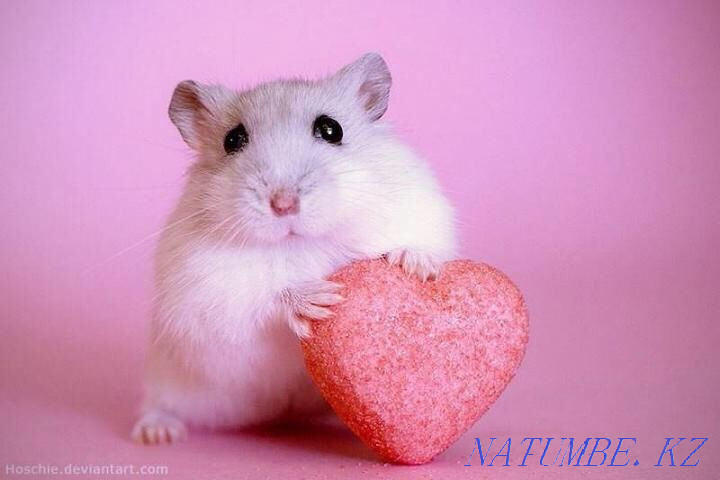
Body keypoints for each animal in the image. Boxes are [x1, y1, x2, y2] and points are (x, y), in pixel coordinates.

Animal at [132, 53, 457, 444]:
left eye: (332, 130)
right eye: (232, 139)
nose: (284, 204)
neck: (300, 241)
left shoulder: (421, 210)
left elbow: (422, 241)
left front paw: (415, 266)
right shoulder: (207, 295)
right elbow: (264, 298)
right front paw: (318, 299)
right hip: (166, 377)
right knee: (157, 404)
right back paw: (158, 433)